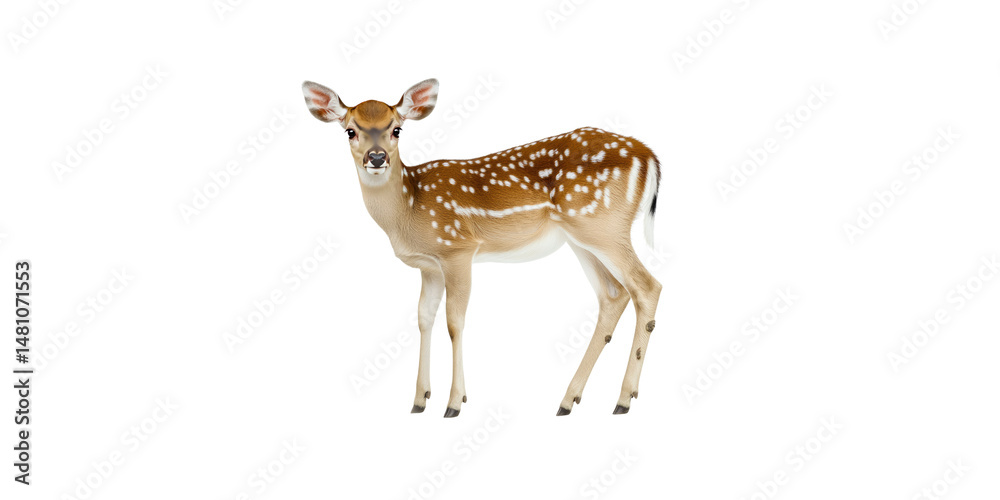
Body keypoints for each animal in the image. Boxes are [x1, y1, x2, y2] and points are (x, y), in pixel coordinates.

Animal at [301, 78, 662, 417]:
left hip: (604, 226)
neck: (409, 209)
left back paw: (623, 399)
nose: (377, 158)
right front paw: (419, 400)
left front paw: (454, 403)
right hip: (582, 238)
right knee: (613, 295)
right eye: (350, 130)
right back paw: (568, 400)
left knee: (647, 286)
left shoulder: (458, 248)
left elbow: (454, 322)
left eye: (396, 129)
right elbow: (424, 318)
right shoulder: (429, 266)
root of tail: (648, 155)